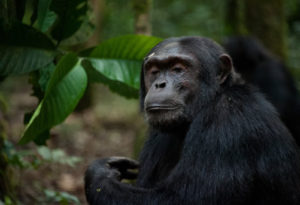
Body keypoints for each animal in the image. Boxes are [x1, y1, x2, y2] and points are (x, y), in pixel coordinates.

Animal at [84, 37, 300, 205]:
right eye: (154, 70)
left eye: (178, 69)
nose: (160, 84)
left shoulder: (227, 122)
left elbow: (179, 199)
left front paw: (99, 173)